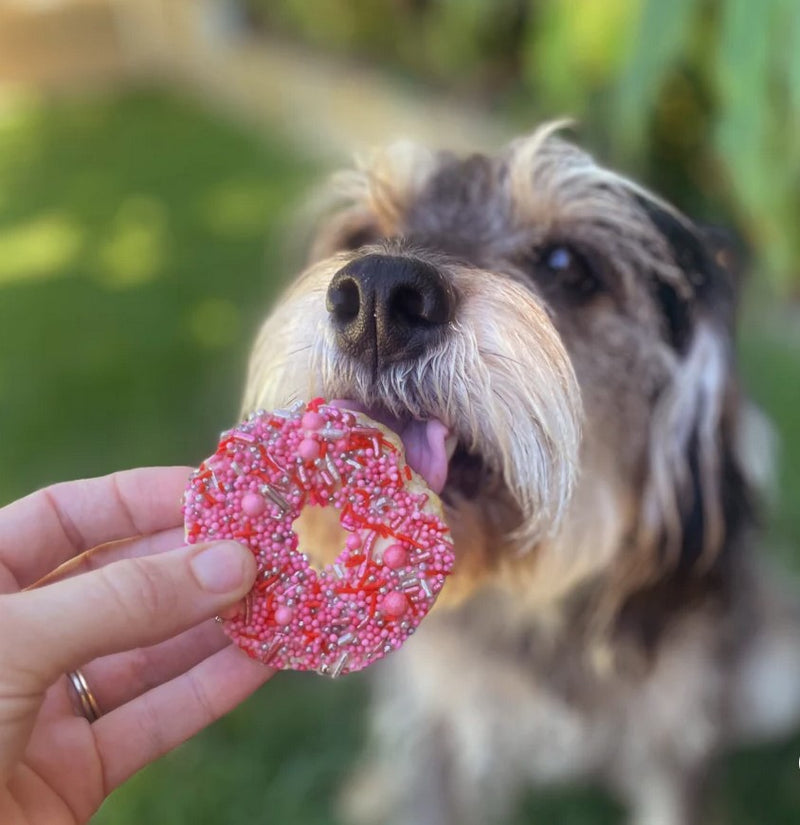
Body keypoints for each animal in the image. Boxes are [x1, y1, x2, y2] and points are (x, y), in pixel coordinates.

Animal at [239, 124, 800, 824]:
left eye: (566, 264)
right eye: (360, 232)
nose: (377, 295)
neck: (528, 602)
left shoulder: (675, 743)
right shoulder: (437, 724)